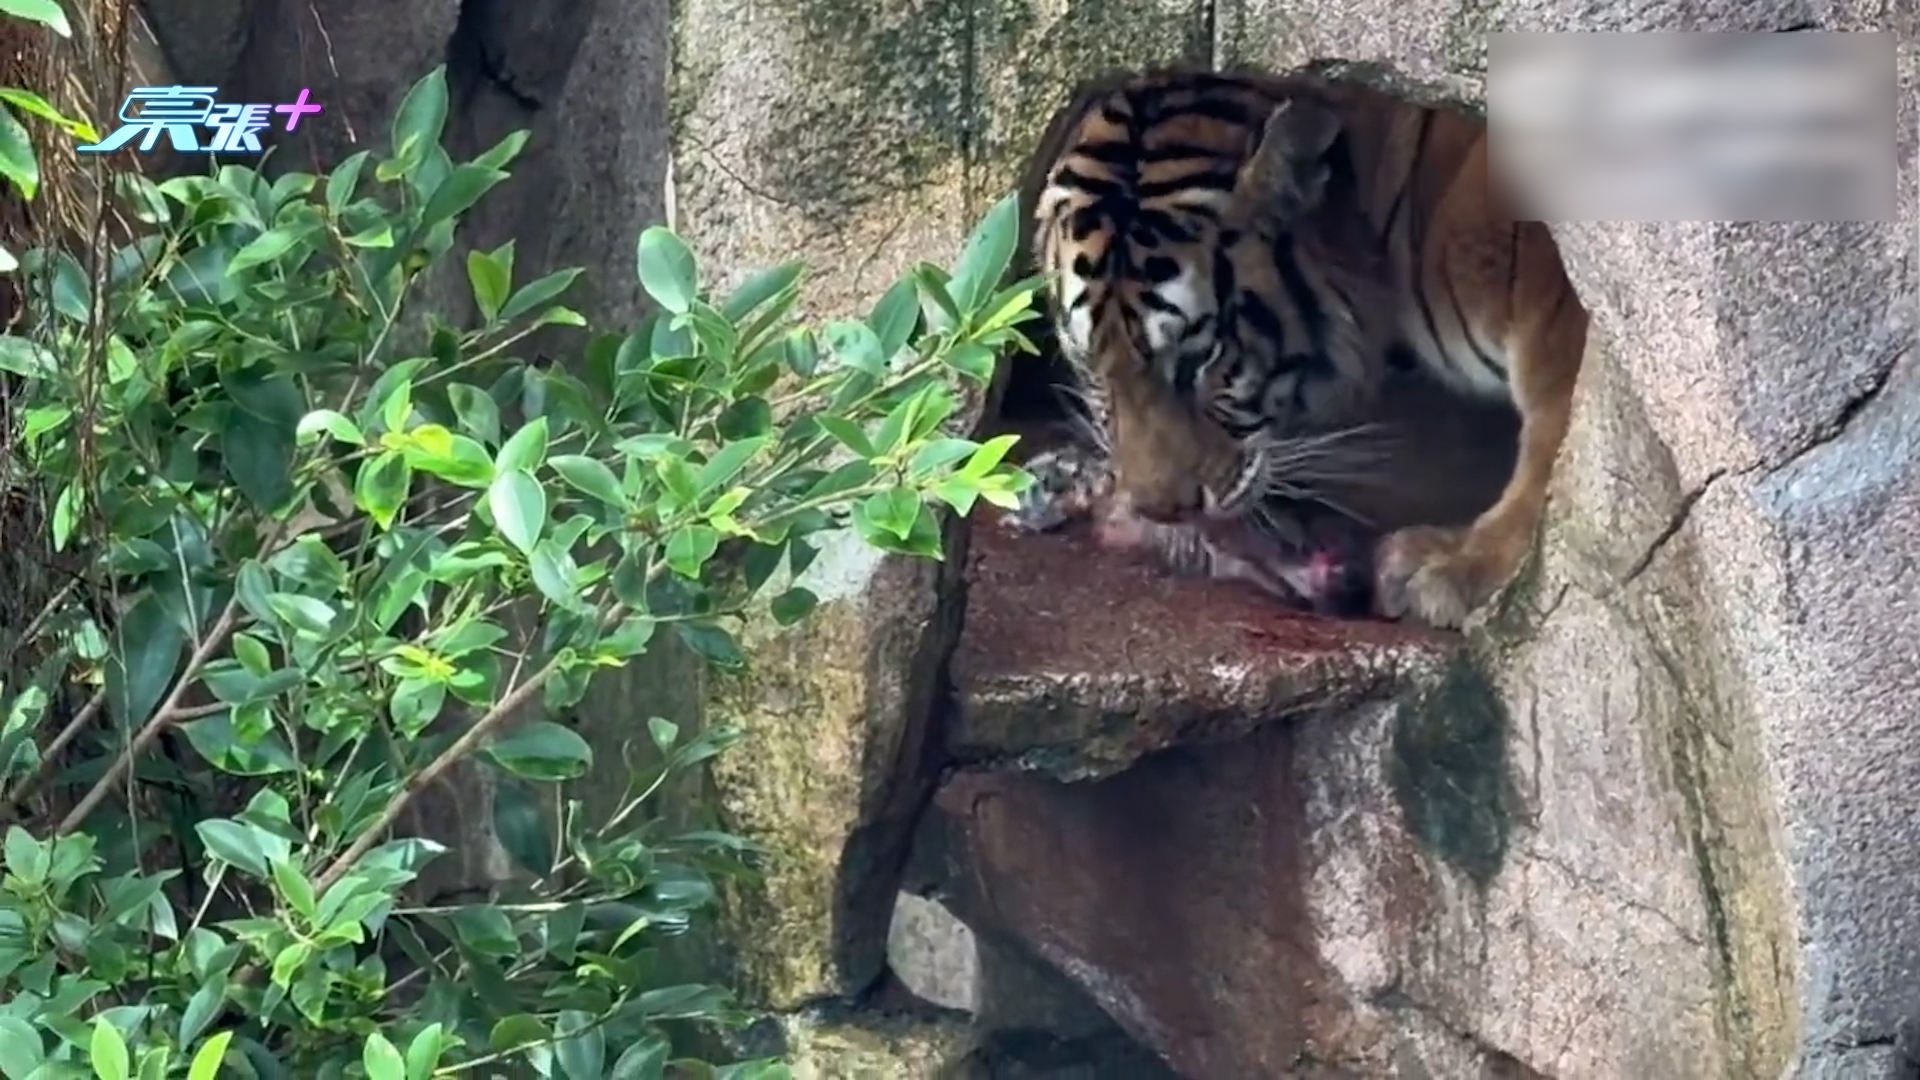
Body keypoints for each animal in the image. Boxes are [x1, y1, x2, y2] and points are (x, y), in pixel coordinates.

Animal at [999, 65, 1588, 629]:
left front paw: (1461, 566)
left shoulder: (1553, 295)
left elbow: (1553, 433)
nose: (1161, 512)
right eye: (1093, 367)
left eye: (1199, 360)